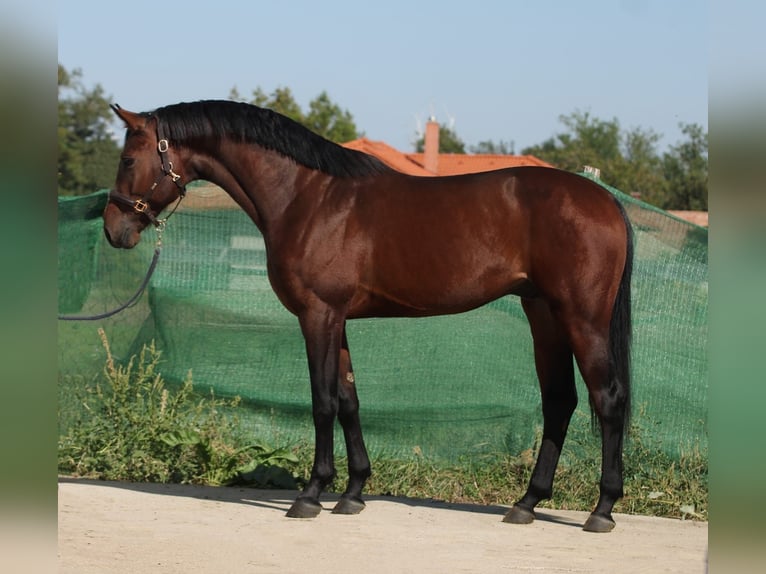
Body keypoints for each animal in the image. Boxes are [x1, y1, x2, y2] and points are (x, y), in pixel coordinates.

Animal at [103, 100, 636, 536]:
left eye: (128, 160)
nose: (113, 230)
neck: (307, 196)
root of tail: (606, 199)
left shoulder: (317, 314)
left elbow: (322, 402)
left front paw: (311, 495)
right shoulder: (337, 320)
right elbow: (348, 400)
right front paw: (353, 493)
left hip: (581, 317)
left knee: (607, 399)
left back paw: (602, 509)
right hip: (543, 315)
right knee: (560, 402)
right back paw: (527, 503)